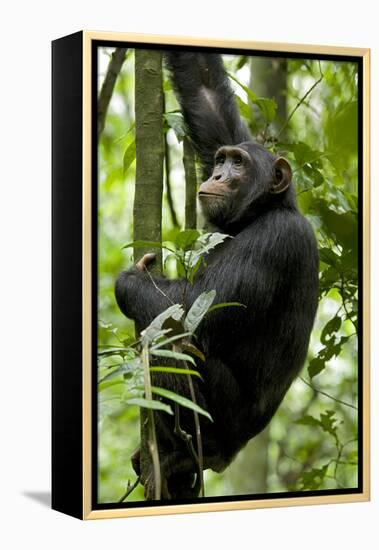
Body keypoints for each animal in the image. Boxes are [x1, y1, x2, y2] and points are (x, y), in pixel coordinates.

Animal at [116, 50, 320, 500]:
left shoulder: (276, 238)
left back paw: (190, 453)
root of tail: (232, 454)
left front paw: (131, 282)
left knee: (168, 339)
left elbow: (198, 308)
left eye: (239, 165)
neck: (261, 212)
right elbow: (205, 90)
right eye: (223, 157)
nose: (217, 174)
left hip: (222, 423)